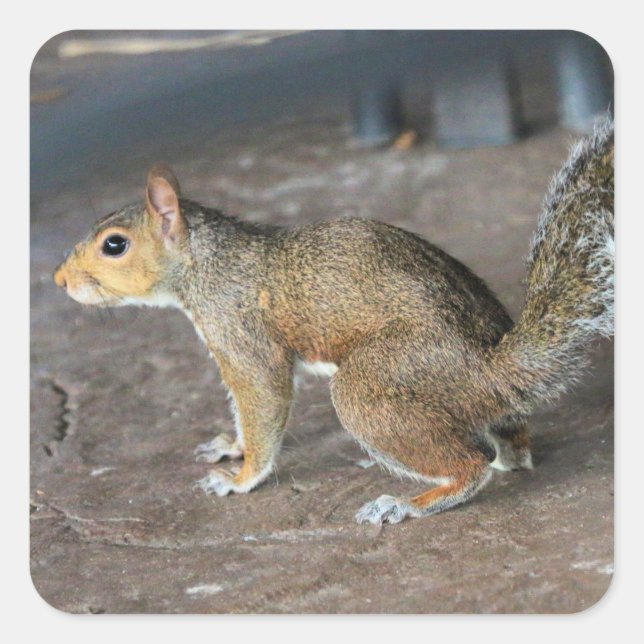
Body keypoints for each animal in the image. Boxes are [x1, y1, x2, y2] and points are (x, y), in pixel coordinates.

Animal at [53, 118, 614, 525]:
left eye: (114, 245)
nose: (59, 280)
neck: (208, 261)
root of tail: (493, 373)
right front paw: (230, 446)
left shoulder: (239, 332)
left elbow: (262, 399)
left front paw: (241, 478)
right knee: (510, 448)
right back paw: (502, 455)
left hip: (374, 386)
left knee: (470, 464)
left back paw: (409, 503)